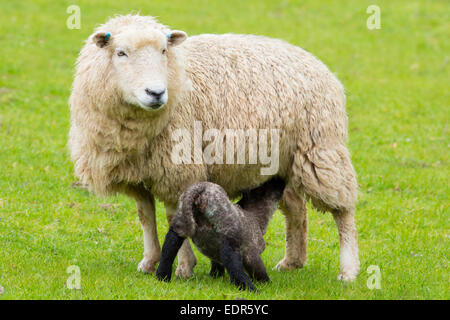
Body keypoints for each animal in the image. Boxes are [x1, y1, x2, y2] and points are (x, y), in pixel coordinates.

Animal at [68, 14, 360, 280]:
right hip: (282, 162)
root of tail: (316, 62)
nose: (156, 93)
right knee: (298, 209)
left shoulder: (179, 169)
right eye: (121, 53)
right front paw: (150, 261)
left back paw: (348, 270)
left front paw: (184, 267)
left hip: (320, 150)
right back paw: (292, 262)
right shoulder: (138, 173)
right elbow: (145, 216)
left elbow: (174, 217)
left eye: (164, 51)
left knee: (343, 211)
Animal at [156, 179, 286, 292]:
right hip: (228, 230)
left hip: (181, 222)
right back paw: (249, 288)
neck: (255, 217)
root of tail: (200, 188)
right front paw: (266, 283)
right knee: (231, 259)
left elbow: (216, 265)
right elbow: (258, 270)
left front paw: (215, 276)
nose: (281, 179)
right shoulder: (251, 253)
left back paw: (162, 277)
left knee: (169, 246)